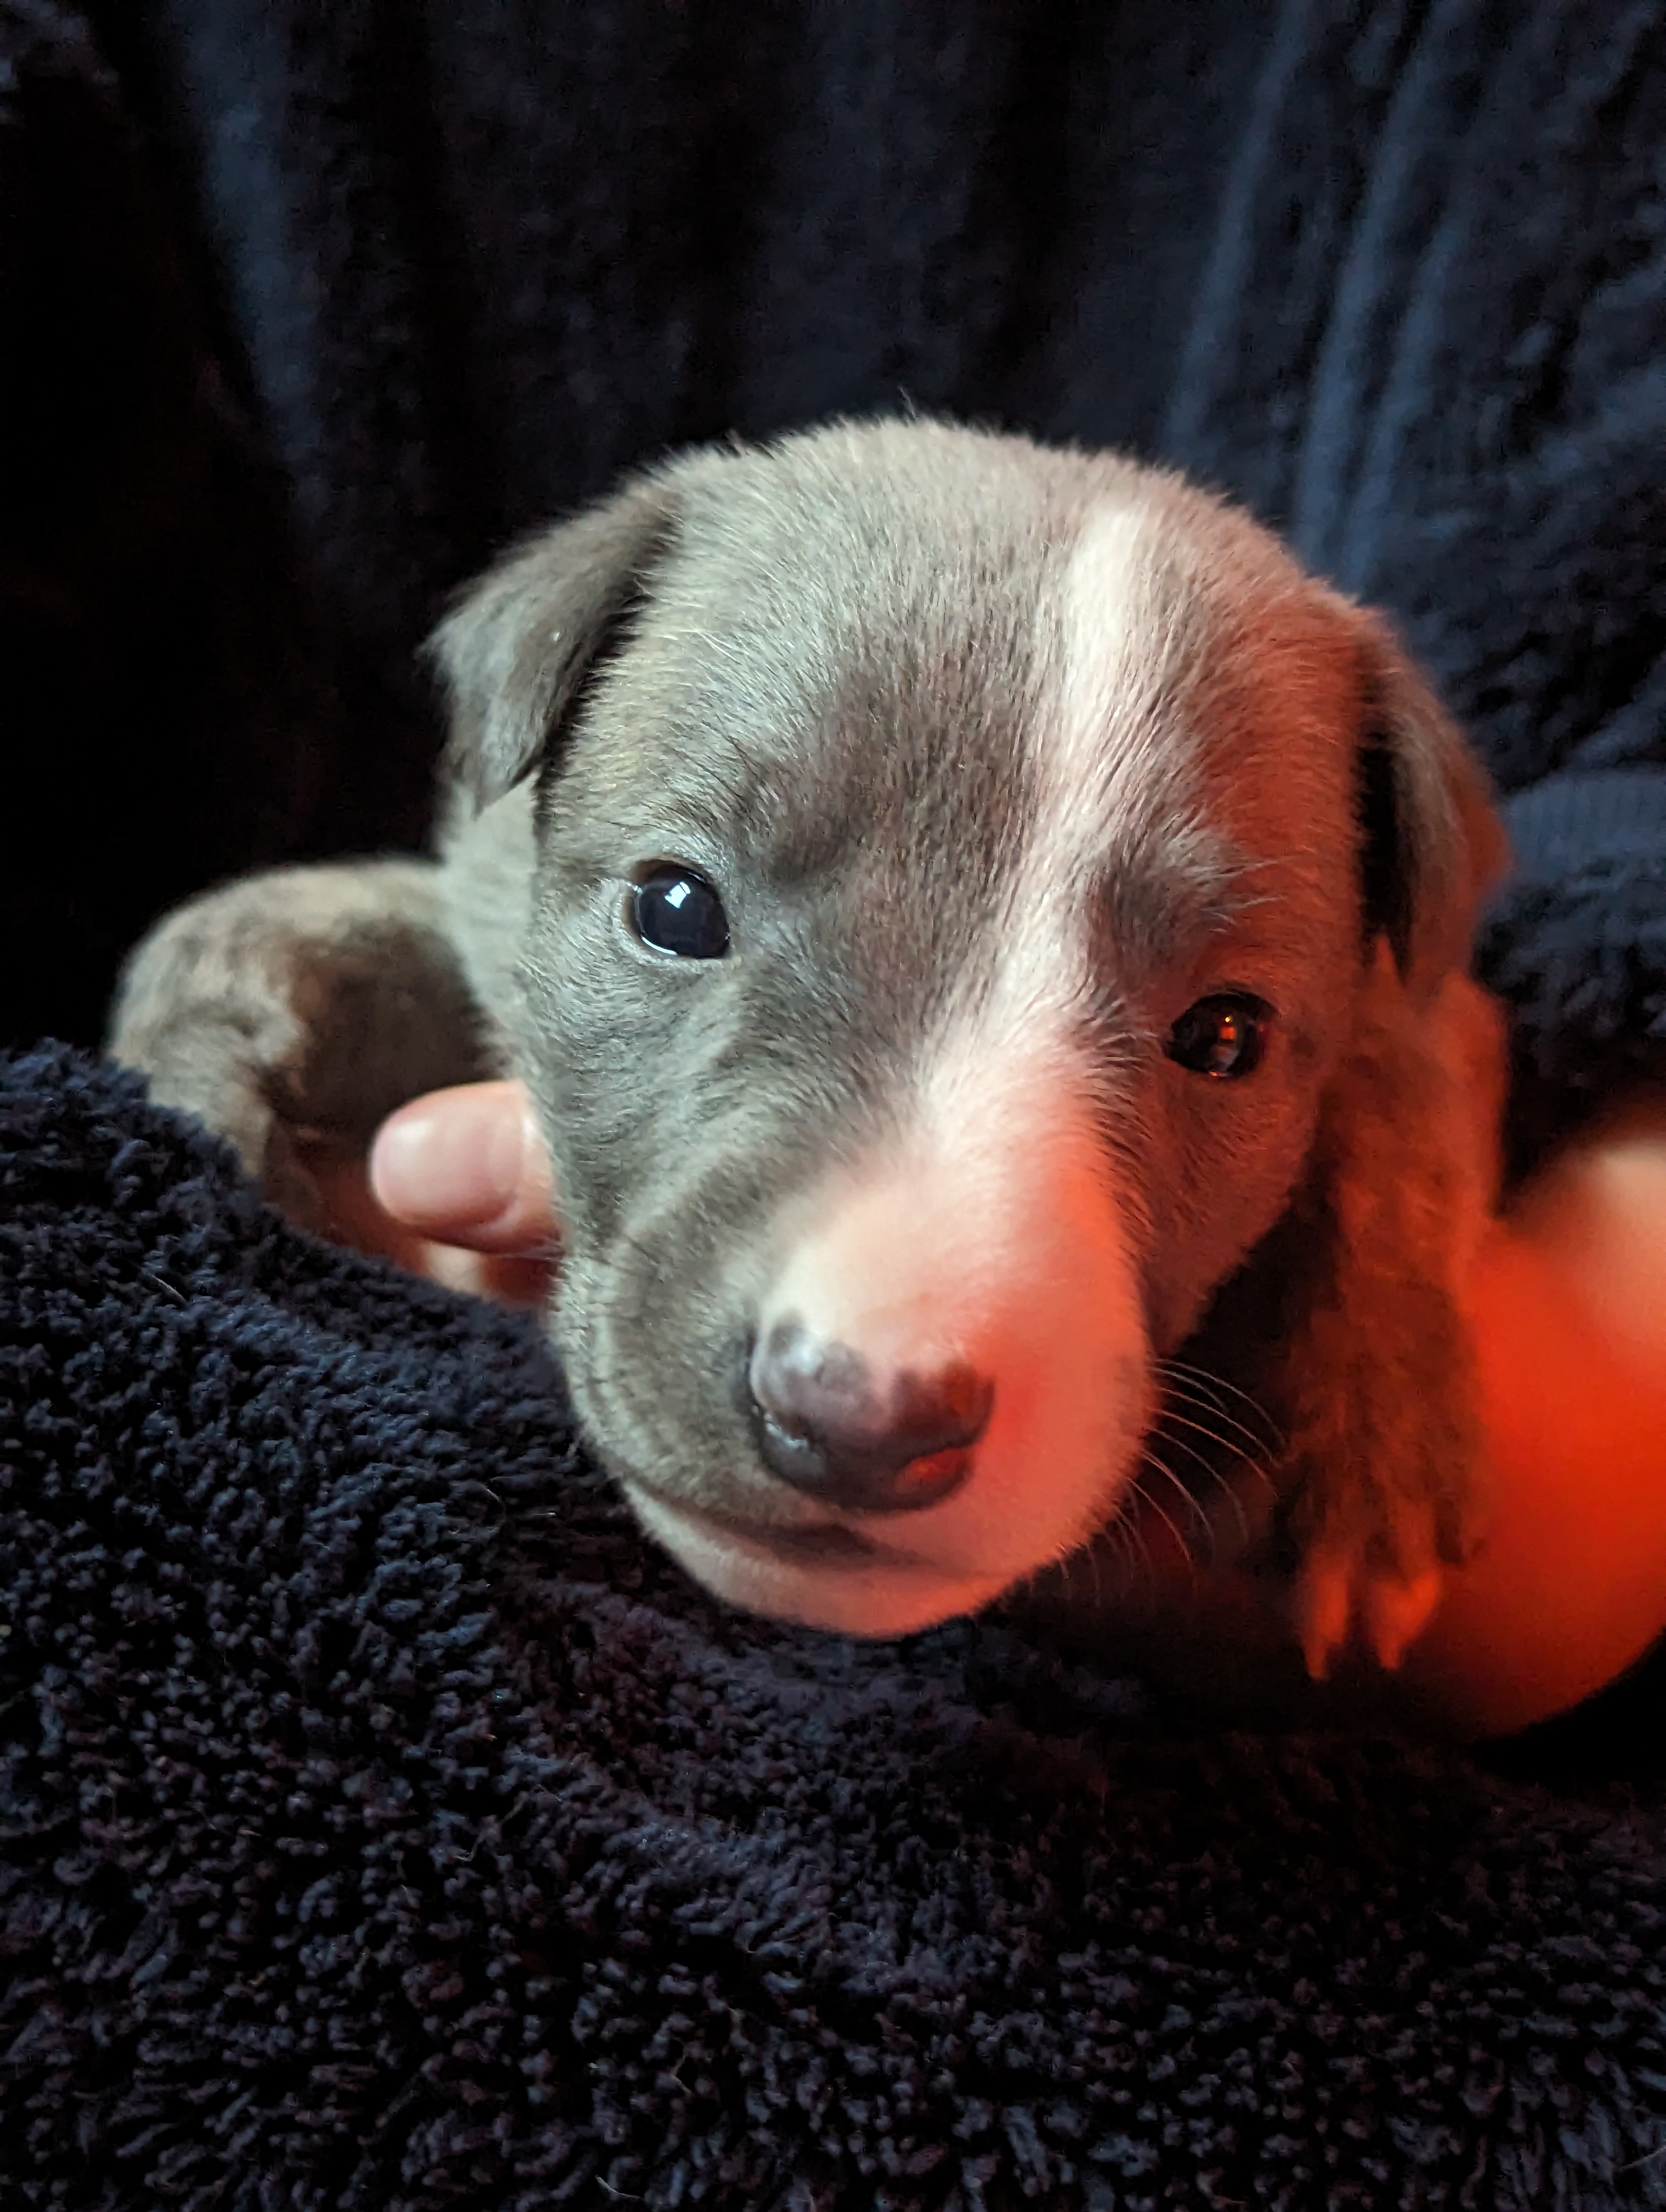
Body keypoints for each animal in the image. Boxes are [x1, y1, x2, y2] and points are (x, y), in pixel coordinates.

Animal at [104, 418, 1504, 1672]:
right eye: (674, 906)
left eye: (1224, 1035)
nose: (864, 1421)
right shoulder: (479, 896)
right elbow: (276, 930)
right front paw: (198, 1083)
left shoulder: (1438, 1007)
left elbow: (1394, 1107)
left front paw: (1373, 1440)